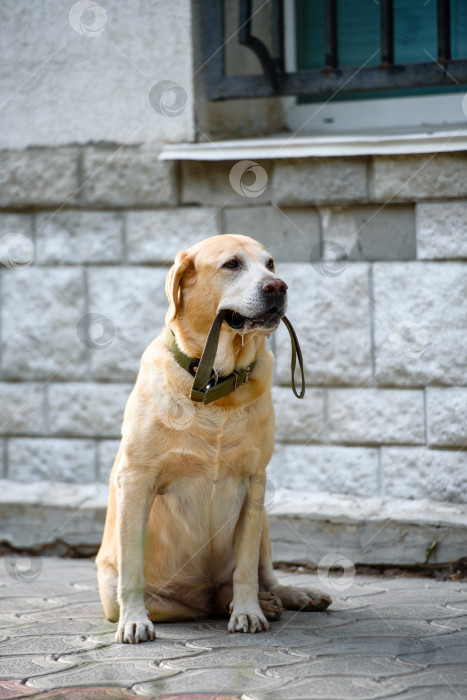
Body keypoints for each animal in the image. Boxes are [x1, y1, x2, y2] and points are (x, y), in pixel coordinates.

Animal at [96, 232, 332, 644]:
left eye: (270, 264)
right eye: (232, 264)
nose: (278, 286)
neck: (215, 384)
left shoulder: (254, 483)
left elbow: (245, 568)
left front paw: (249, 610)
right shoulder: (136, 481)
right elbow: (133, 569)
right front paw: (135, 620)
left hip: (265, 520)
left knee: (262, 576)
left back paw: (287, 596)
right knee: (194, 601)